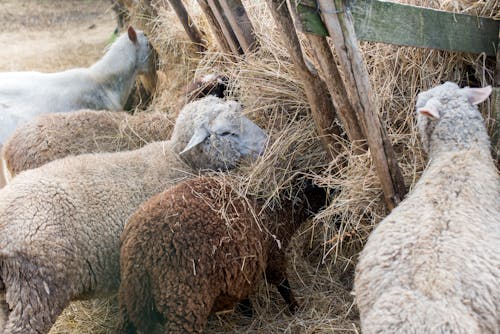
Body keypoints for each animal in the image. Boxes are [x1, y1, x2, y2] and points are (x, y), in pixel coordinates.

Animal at [117, 176, 328, 332]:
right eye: (319, 188)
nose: (334, 191)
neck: (276, 212)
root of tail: (140, 252)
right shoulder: (273, 255)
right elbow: (283, 284)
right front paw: (296, 309)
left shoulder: (244, 268)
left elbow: (244, 293)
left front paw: (249, 312)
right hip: (184, 305)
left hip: (129, 301)